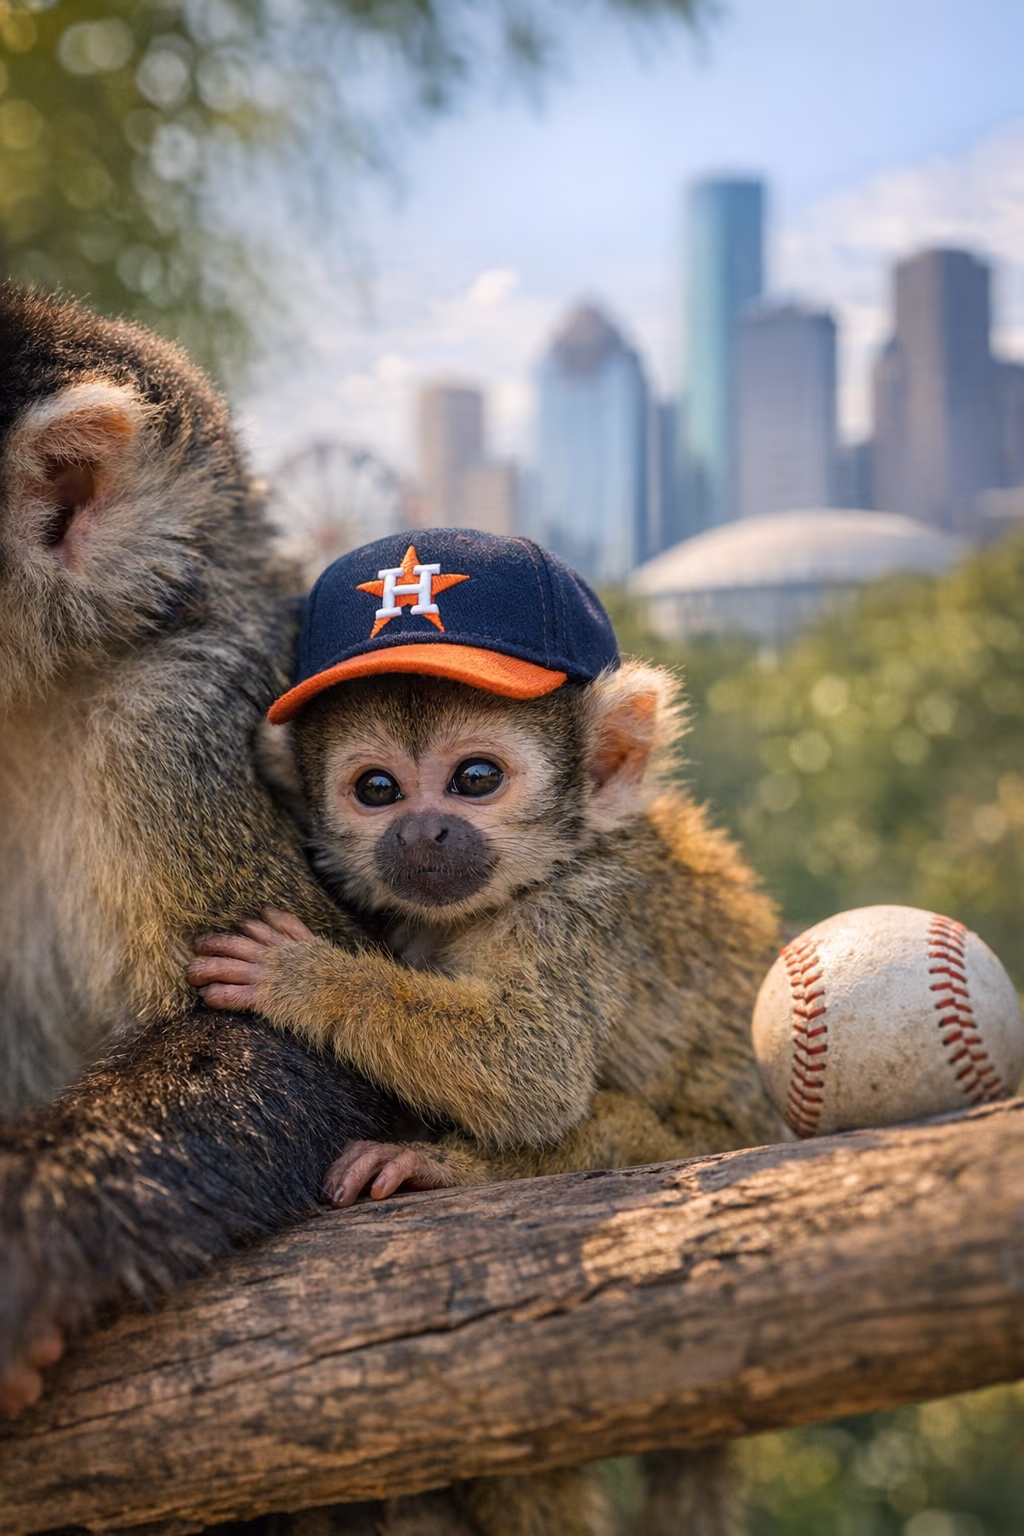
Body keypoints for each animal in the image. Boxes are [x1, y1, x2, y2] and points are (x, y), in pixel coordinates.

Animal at [188, 529, 783, 1536]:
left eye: (475, 780)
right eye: (377, 790)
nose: (424, 833)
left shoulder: (576, 912)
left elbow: (530, 1070)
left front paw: (307, 980)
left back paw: (445, 1169)